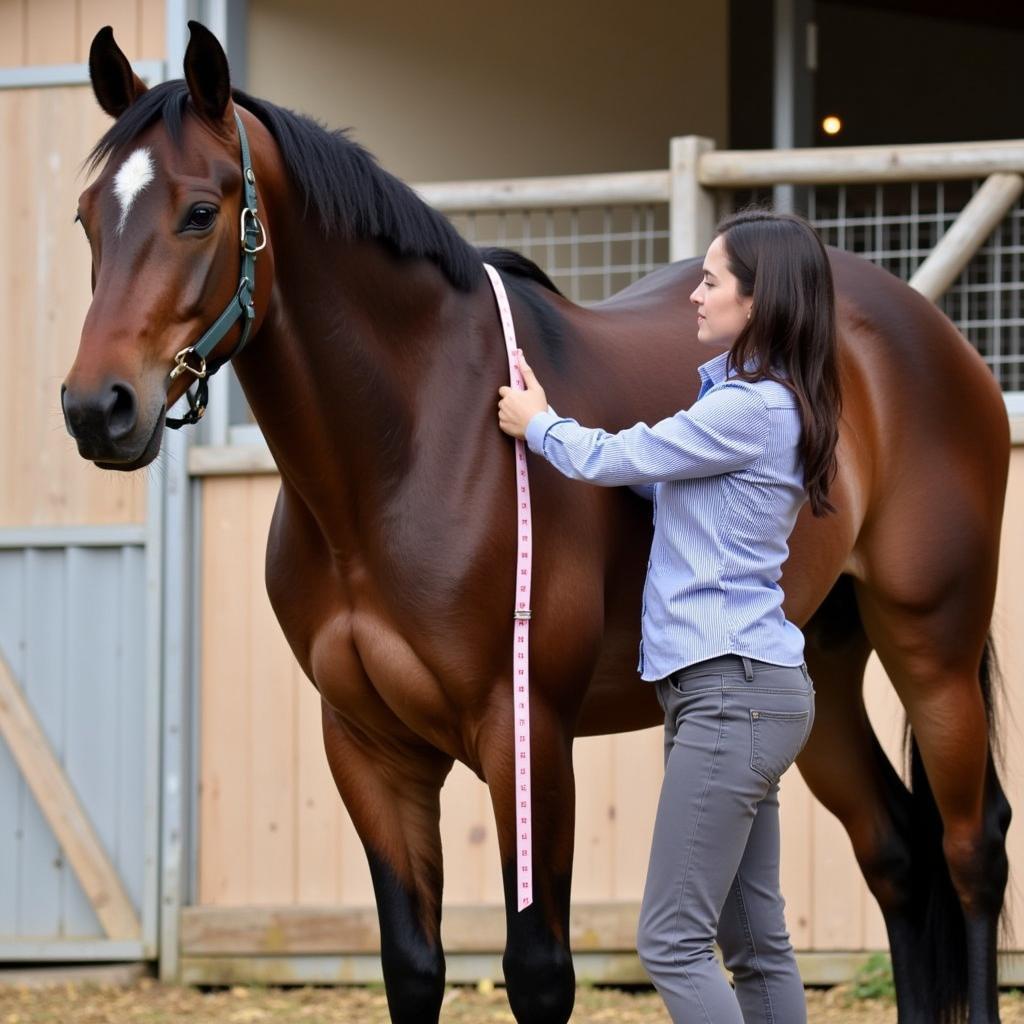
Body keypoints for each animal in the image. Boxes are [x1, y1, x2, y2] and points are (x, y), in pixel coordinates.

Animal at [66, 24, 1015, 1024]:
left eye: (201, 212)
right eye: (88, 217)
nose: (97, 409)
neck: (408, 451)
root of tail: (927, 329)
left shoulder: (526, 735)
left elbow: (539, 971)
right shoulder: (366, 746)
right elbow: (413, 965)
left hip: (931, 647)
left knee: (970, 848)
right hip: (820, 667)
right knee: (895, 848)